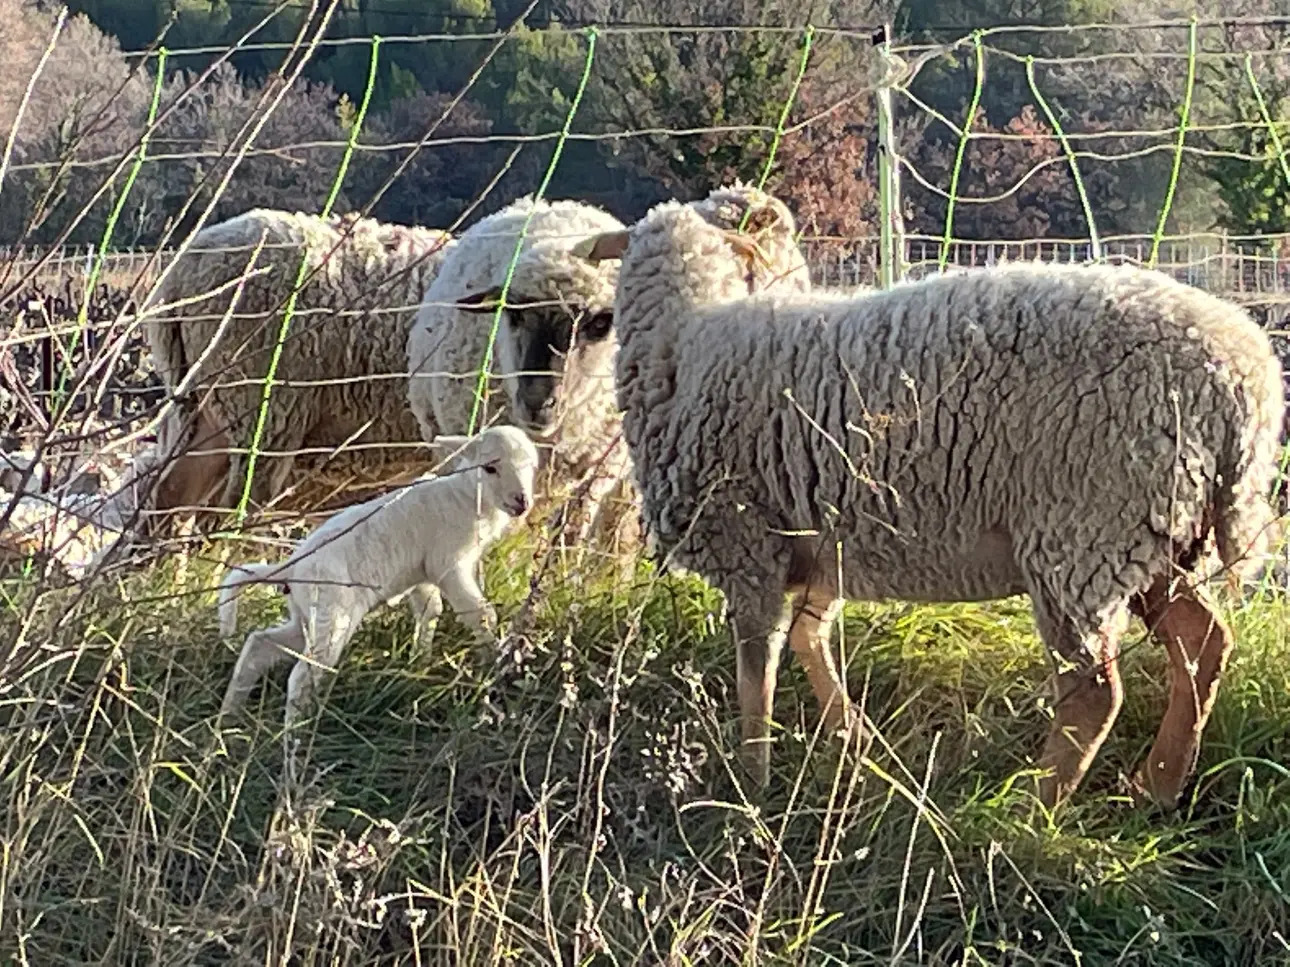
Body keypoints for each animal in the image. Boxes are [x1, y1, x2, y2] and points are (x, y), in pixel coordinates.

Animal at [214, 422, 536, 742]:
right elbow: (480, 614)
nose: (522, 501)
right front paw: (495, 661)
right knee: (301, 676)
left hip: (305, 616)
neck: (468, 497)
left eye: (531, 466)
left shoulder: (422, 573)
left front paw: (420, 661)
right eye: (490, 468)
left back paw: (227, 721)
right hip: (333, 612)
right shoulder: (447, 563)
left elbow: (430, 611)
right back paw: (294, 741)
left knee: (259, 646)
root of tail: (290, 567)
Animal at [577, 201, 1290, 814]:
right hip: (1152, 532)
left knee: (1096, 688)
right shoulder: (824, 547)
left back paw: (1033, 806)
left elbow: (759, 669)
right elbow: (811, 638)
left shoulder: (747, 543)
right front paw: (856, 745)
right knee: (1203, 644)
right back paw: (1158, 785)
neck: (685, 339)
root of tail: (1246, 383)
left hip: (1083, 530)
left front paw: (752, 777)